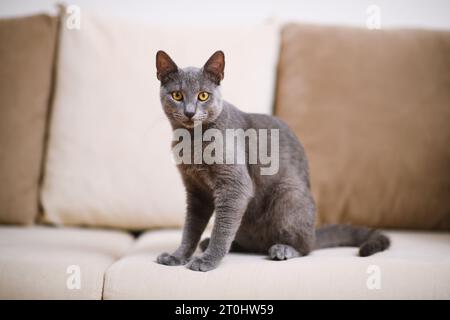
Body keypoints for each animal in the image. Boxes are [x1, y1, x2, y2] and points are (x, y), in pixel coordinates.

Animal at [154, 51, 386, 272]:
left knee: (306, 247)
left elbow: (222, 228)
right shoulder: (196, 191)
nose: (190, 112)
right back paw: (214, 243)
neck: (191, 141)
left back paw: (282, 249)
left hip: (288, 195)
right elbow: (190, 229)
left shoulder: (234, 186)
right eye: (177, 95)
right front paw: (178, 256)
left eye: (203, 96)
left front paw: (207, 261)